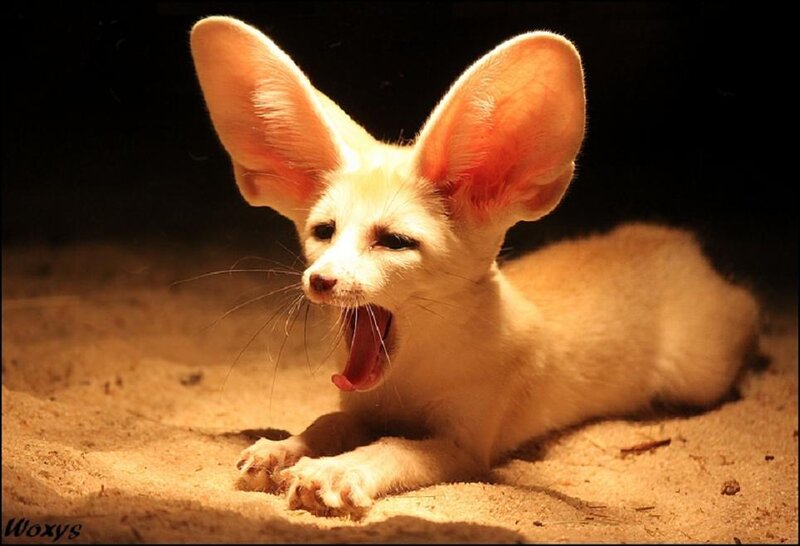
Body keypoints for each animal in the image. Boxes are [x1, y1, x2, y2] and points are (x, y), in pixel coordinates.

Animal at [190, 16, 759, 516]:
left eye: (395, 241)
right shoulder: (361, 407)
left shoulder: (464, 442)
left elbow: (394, 448)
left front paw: (334, 471)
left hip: (697, 374)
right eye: (324, 232)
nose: (320, 280)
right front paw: (281, 449)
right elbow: (326, 423)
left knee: (746, 308)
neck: (410, 375)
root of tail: (673, 238)